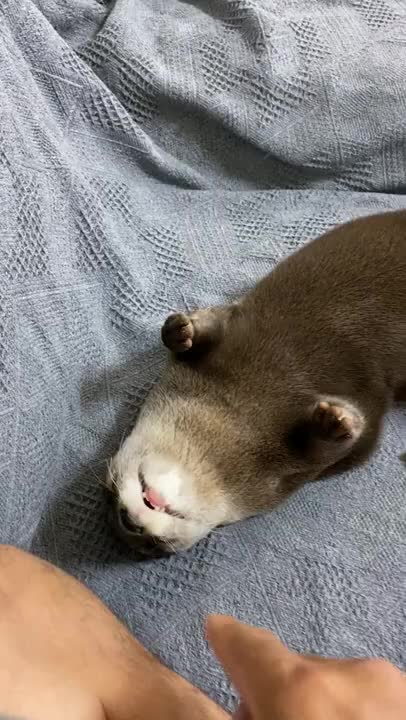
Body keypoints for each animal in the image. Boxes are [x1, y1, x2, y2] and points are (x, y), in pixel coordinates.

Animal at [109, 211, 406, 555]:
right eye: (154, 546)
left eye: (115, 502)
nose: (132, 523)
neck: (238, 417)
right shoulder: (290, 475)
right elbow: (337, 448)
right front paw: (335, 423)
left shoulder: (228, 330)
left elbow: (210, 326)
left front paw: (181, 330)